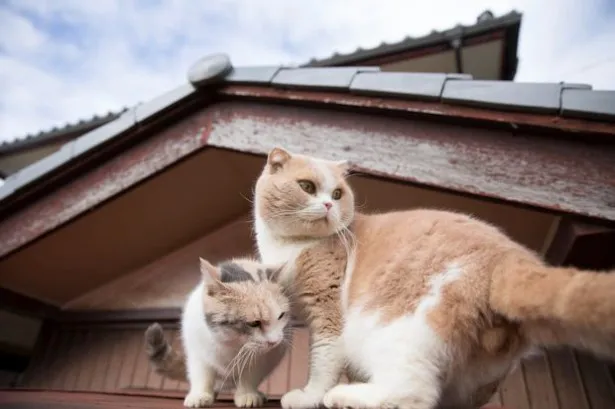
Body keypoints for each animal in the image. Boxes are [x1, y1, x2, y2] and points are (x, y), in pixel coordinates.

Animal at [254, 147, 615, 408]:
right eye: (307, 187)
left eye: (338, 194)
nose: (329, 205)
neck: (287, 246)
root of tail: (511, 258)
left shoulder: (328, 313)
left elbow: (323, 361)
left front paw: (308, 396)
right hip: (476, 377)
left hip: (397, 326)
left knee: (413, 392)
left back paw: (348, 397)